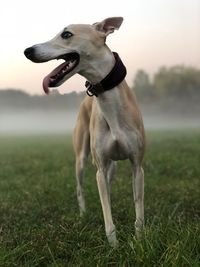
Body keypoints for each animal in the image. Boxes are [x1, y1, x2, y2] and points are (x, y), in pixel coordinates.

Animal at [24, 16, 145, 247]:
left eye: (66, 34)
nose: (28, 50)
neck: (108, 101)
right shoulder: (99, 168)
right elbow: (107, 214)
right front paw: (114, 246)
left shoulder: (137, 165)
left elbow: (138, 209)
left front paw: (141, 240)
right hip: (82, 158)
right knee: (81, 188)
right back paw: (83, 215)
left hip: (112, 166)